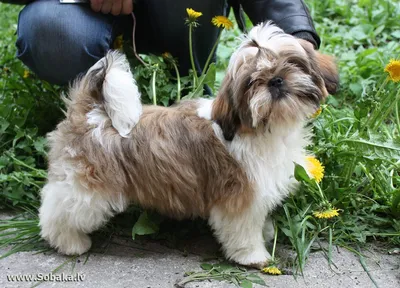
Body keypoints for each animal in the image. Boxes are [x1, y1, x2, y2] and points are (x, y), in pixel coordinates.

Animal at [38, 22, 338, 268]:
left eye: (292, 63)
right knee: (58, 210)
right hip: (89, 188)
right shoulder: (239, 197)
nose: (276, 80)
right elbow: (242, 230)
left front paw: (266, 231)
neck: (260, 128)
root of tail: (90, 112)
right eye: (251, 82)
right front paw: (253, 255)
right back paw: (68, 242)